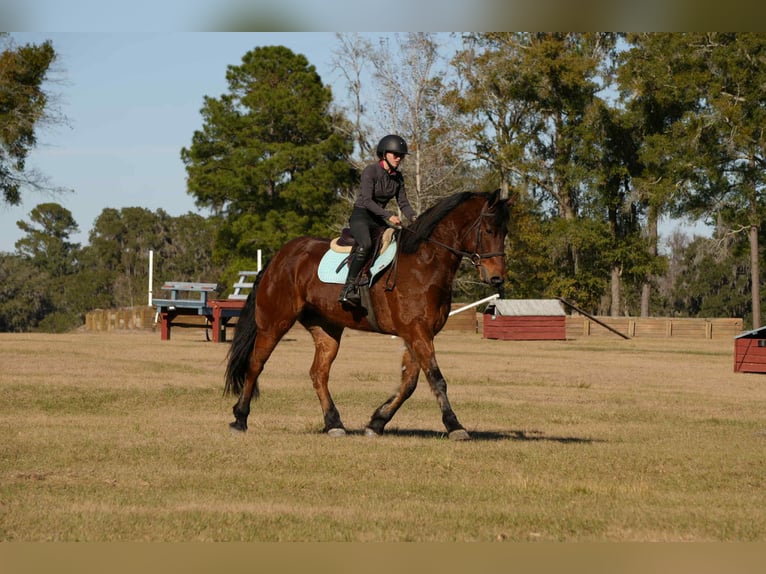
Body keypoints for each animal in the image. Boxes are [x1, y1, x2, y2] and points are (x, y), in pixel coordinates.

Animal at [223, 188, 511, 440]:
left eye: (505, 232)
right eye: (488, 231)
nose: (497, 278)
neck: (424, 263)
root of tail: (279, 258)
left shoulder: (418, 334)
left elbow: (409, 382)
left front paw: (377, 422)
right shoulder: (416, 332)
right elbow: (436, 379)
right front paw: (455, 426)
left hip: (326, 329)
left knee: (318, 373)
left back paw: (334, 423)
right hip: (274, 323)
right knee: (255, 365)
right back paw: (240, 418)